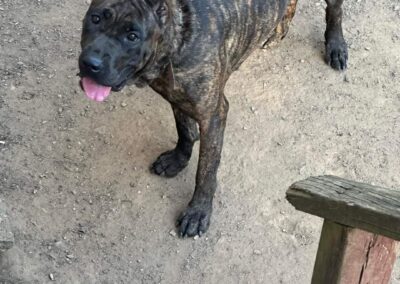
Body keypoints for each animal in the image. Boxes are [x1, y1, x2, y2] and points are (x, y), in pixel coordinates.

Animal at [77, 0, 346, 236]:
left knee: (335, 10)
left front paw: (198, 211)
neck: (178, 37)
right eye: (95, 18)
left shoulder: (213, 115)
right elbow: (184, 130)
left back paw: (336, 46)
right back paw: (277, 31)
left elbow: (206, 170)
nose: (91, 63)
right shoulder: (176, 95)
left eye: (132, 36)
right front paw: (178, 159)